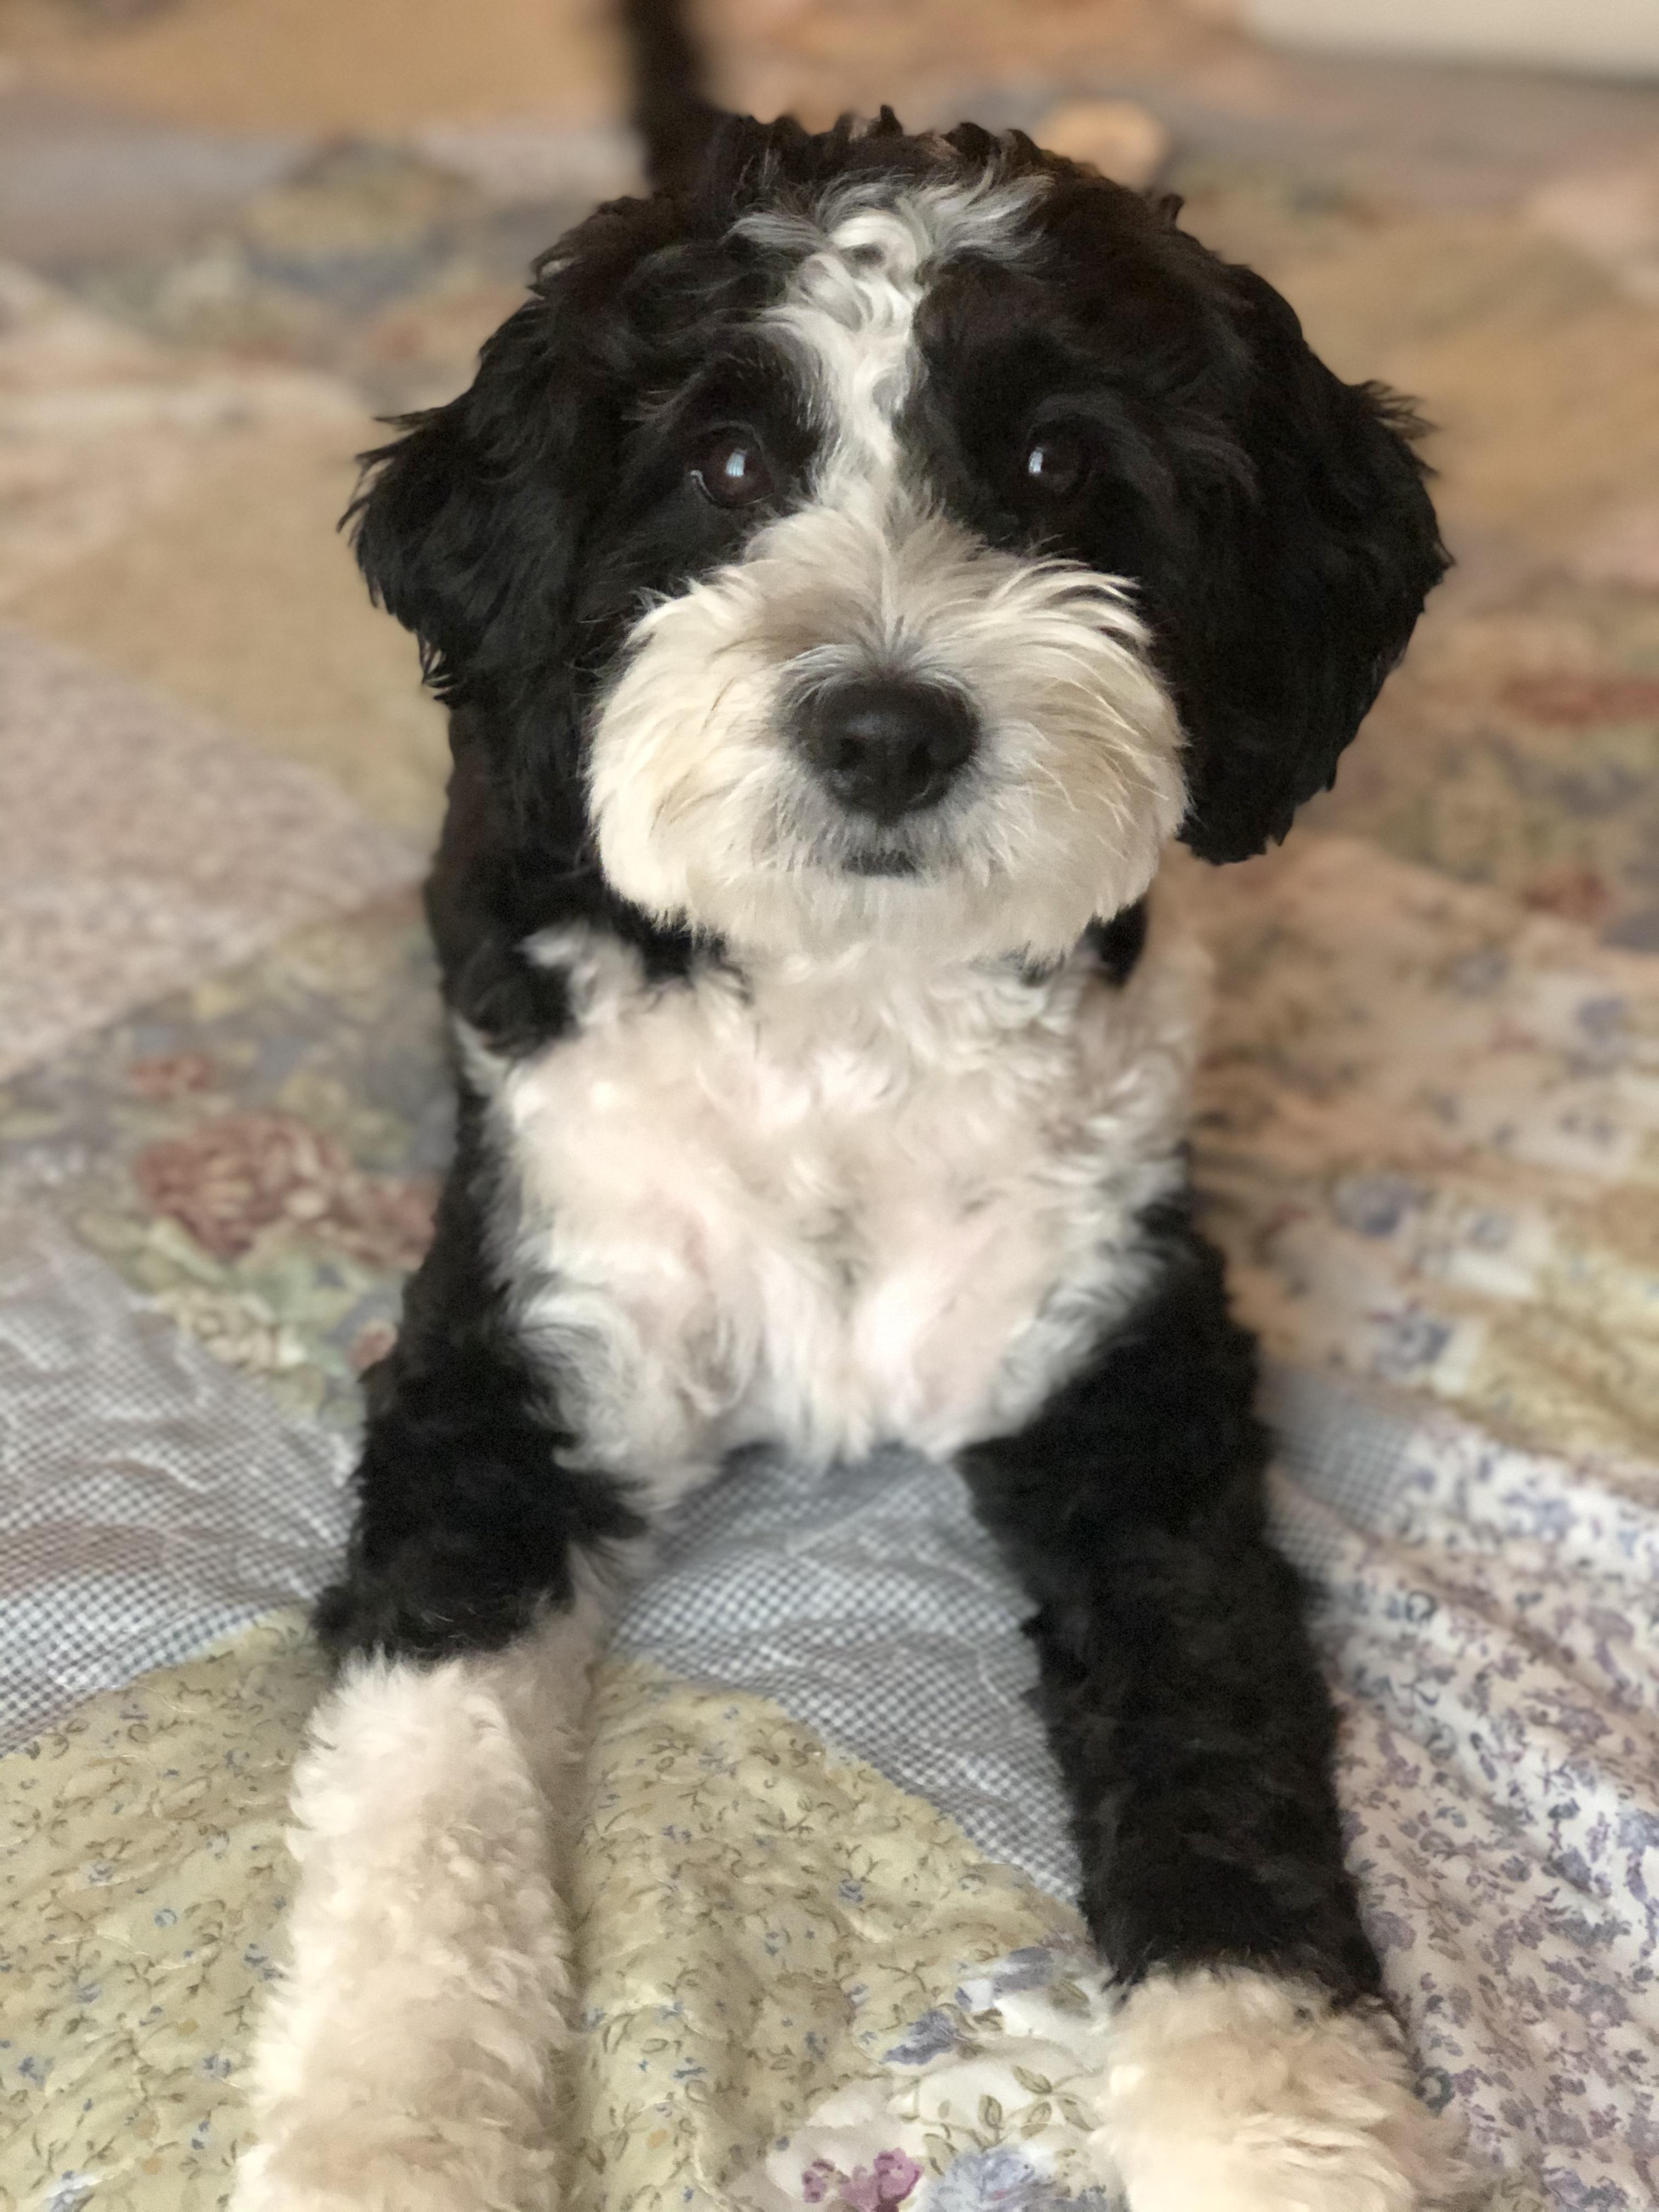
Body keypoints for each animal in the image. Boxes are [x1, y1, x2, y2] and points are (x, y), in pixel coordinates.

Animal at [231, 3, 1458, 2205]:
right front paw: (386, 2127)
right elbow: (419, 1798)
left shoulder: (1125, 1395)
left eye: (1057, 466)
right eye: (726, 463)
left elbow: (1219, 1763)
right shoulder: (514, 1374)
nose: (886, 728)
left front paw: (1276, 2126)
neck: (843, 1024)